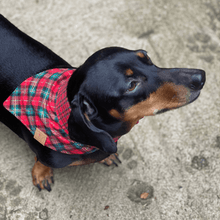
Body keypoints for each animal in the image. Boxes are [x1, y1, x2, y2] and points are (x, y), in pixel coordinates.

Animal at [0, 14, 205, 192]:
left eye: (146, 56)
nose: (201, 77)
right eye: (132, 85)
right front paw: (41, 173)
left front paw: (107, 157)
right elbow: (40, 160)